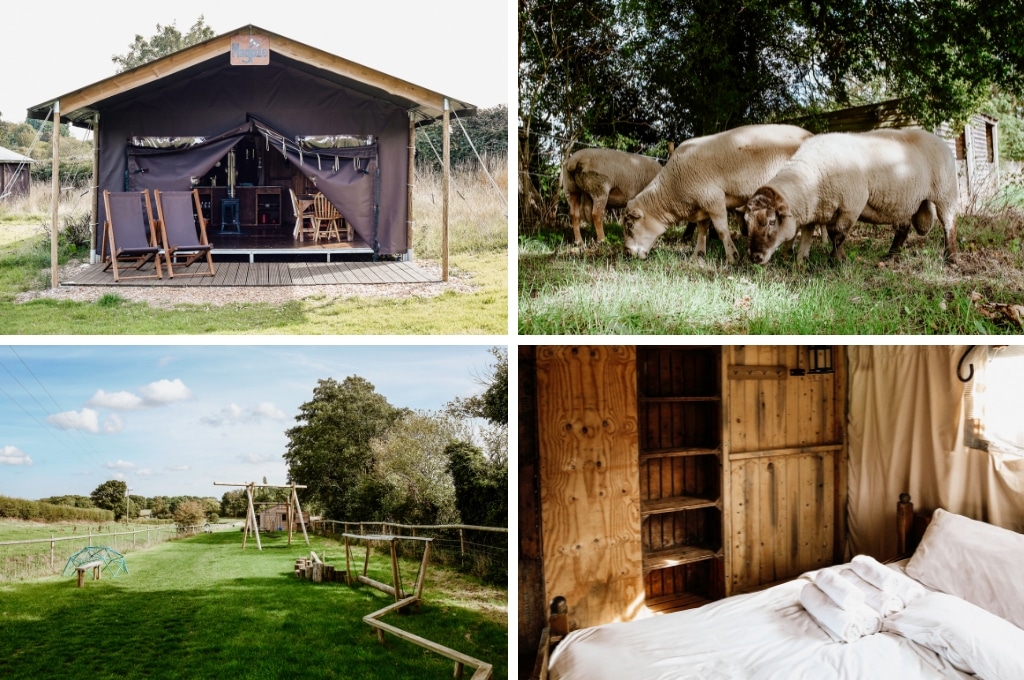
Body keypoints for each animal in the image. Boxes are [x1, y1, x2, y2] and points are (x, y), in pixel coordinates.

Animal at [618, 123, 811, 261]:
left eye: (630, 225)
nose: (627, 253)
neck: (673, 187)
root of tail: (809, 134)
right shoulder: (701, 204)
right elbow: (702, 230)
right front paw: (697, 256)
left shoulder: (713, 199)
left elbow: (721, 230)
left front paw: (732, 257)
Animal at [745, 127, 958, 266]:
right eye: (747, 223)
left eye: (772, 222)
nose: (754, 257)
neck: (810, 179)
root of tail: (939, 140)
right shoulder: (814, 210)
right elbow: (806, 238)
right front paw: (801, 264)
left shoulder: (851, 204)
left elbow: (836, 233)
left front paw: (837, 261)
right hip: (904, 199)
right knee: (903, 228)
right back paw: (891, 255)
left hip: (945, 192)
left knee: (949, 224)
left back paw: (951, 258)